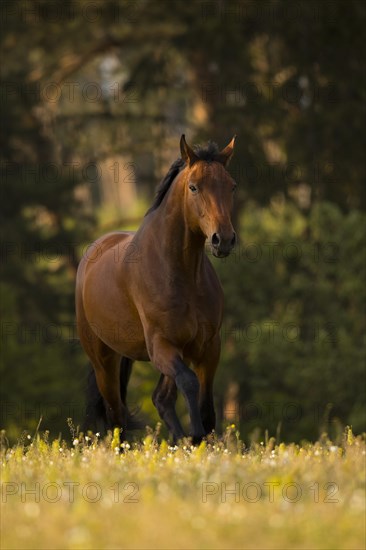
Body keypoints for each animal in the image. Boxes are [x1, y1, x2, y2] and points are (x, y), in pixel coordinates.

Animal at [77, 135, 237, 444]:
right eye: (193, 187)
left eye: (231, 185)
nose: (223, 240)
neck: (180, 274)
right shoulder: (162, 346)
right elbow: (188, 382)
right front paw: (194, 435)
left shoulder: (208, 347)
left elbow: (207, 407)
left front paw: (199, 440)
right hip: (104, 361)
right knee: (116, 415)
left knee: (160, 399)